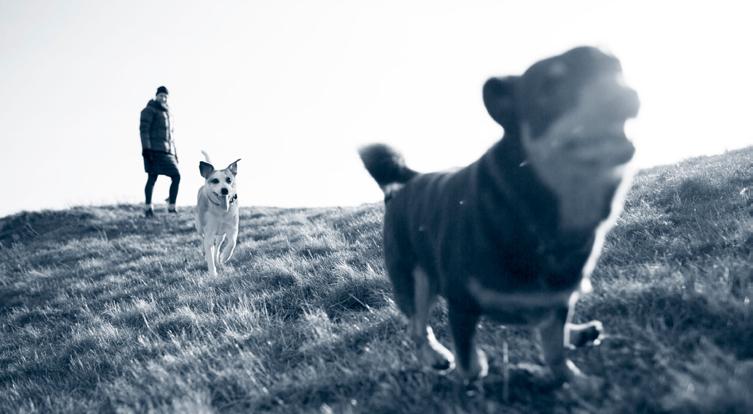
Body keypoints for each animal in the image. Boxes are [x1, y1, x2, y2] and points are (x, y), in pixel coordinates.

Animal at [356, 47, 636, 386]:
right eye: (551, 87)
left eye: (616, 70)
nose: (626, 94)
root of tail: (409, 180)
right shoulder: (461, 304)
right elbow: (468, 362)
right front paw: (478, 368)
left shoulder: (558, 299)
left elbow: (555, 349)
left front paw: (577, 381)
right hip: (414, 278)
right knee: (417, 326)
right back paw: (435, 357)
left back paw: (579, 333)